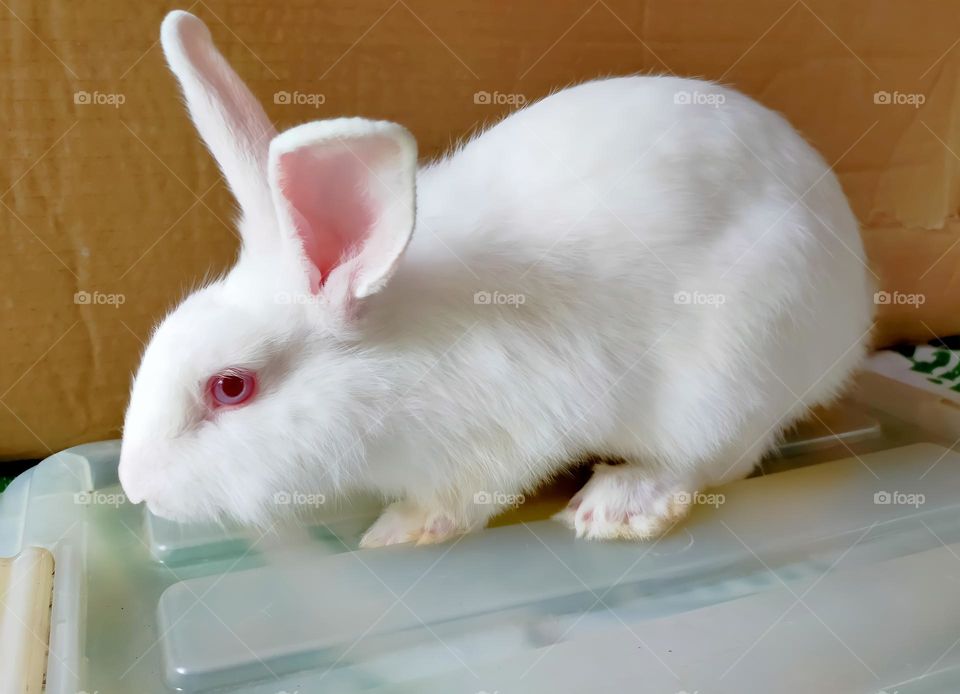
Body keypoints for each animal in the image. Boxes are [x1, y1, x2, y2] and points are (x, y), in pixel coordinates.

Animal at [118, 10, 874, 547]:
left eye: (231, 387)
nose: (132, 487)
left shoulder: (500, 438)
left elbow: (462, 496)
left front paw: (395, 533)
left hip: (735, 368)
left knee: (717, 460)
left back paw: (616, 506)